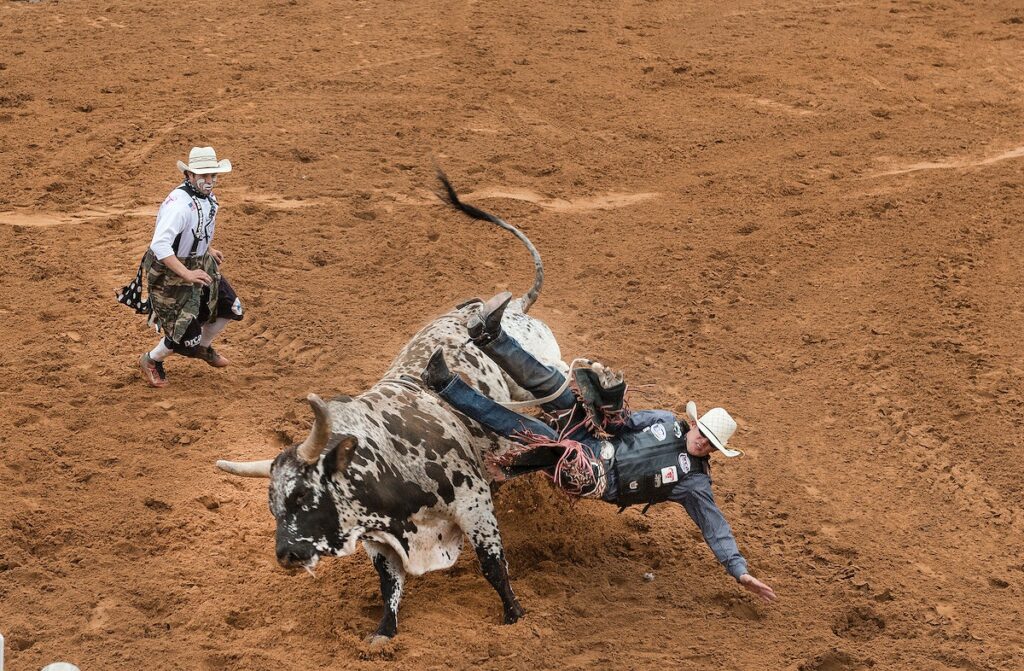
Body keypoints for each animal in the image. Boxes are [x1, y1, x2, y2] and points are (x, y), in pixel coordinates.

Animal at [216, 173, 565, 639]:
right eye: (272, 505)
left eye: (303, 495)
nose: (286, 554)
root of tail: (517, 309)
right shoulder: (376, 538)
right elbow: (390, 584)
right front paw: (383, 634)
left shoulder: (473, 503)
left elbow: (493, 566)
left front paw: (515, 617)